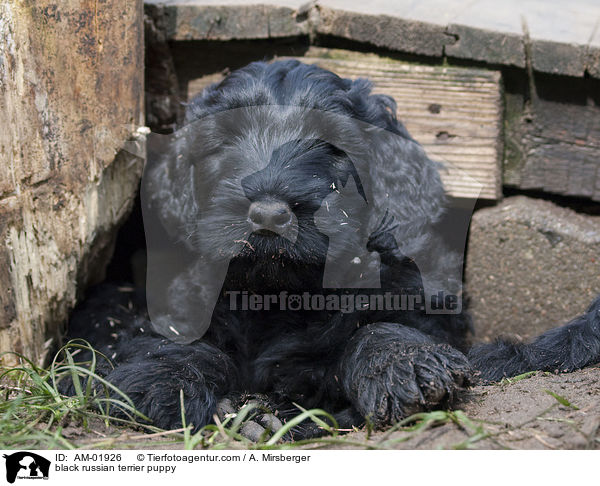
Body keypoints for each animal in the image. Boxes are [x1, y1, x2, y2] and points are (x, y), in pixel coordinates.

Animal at [65, 58, 600, 434]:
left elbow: (379, 326)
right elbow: (174, 338)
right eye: (224, 142)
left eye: (332, 146)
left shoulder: (415, 300)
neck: (276, 294)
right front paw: (167, 385)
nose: (268, 214)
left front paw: (404, 365)